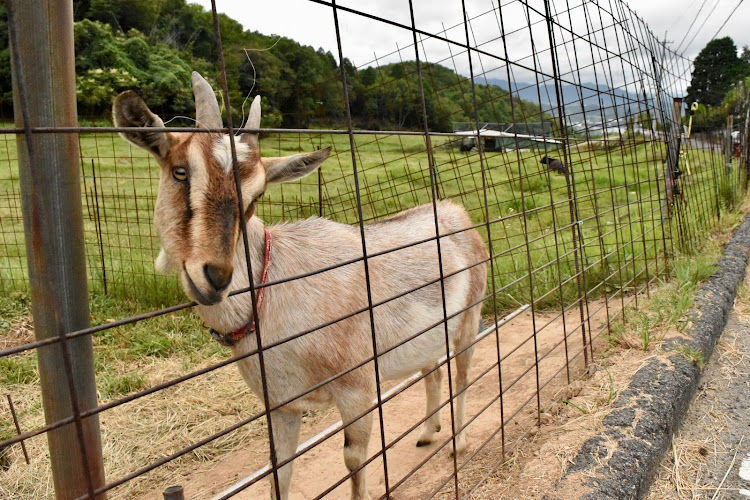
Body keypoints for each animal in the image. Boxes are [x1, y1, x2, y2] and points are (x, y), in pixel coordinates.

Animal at [111, 72, 488, 498]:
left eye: (257, 195)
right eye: (179, 171)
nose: (216, 276)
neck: (273, 291)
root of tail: (458, 213)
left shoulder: (357, 388)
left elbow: (355, 461)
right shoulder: (281, 404)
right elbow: (278, 471)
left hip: (470, 317)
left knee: (461, 375)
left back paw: (457, 441)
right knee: (433, 370)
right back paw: (427, 432)